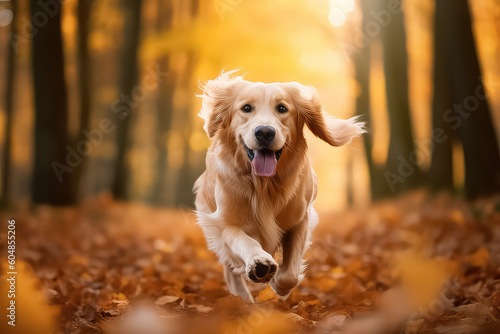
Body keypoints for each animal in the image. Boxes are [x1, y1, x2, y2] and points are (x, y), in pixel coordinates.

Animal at [194, 70, 364, 302]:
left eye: (282, 108)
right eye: (246, 108)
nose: (265, 132)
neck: (264, 184)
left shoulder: (301, 220)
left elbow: (290, 273)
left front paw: (277, 282)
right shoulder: (225, 224)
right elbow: (245, 242)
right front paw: (260, 263)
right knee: (231, 271)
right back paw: (242, 298)